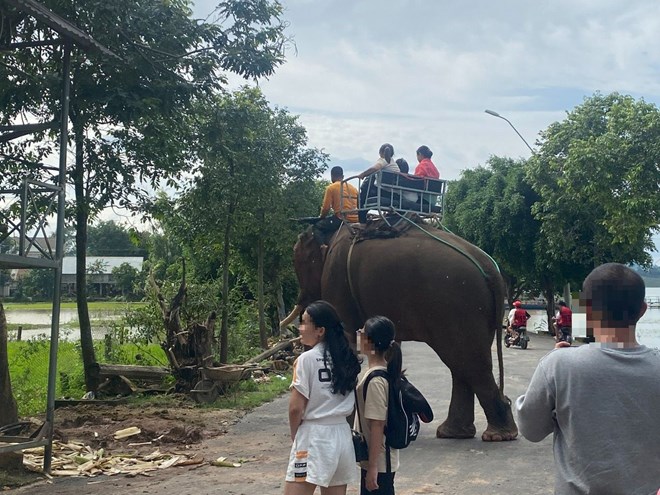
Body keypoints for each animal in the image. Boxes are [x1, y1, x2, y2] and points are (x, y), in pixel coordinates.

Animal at [284, 219, 520, 444]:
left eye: (298, 264)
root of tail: (491, 269)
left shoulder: (336, 281)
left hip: (459, 306)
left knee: (470, 363)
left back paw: (498, 435)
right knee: (462, 364)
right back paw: (455, 433)